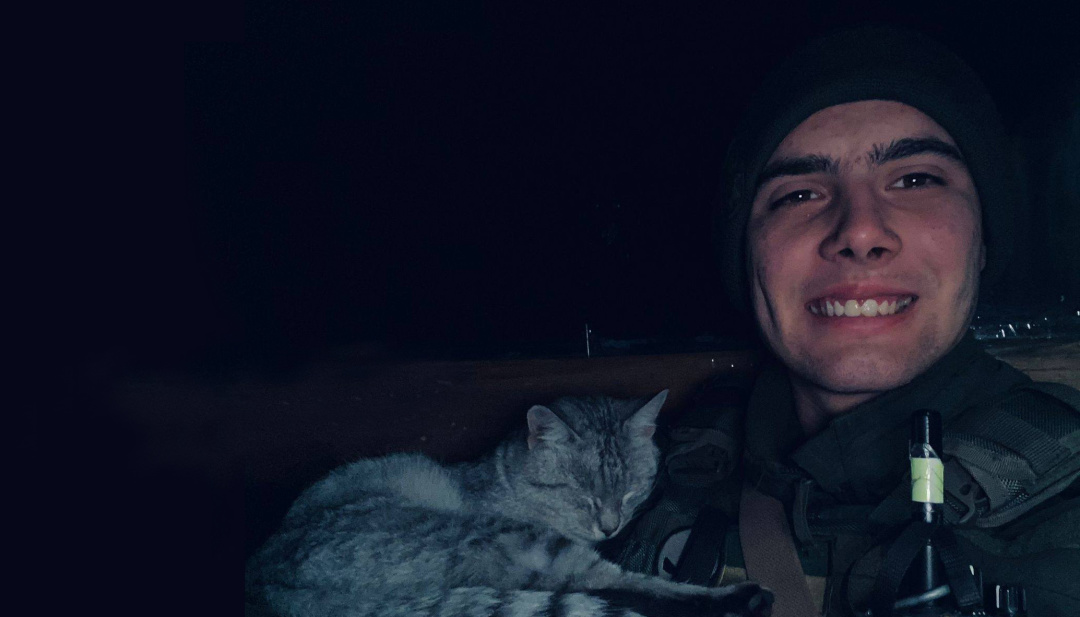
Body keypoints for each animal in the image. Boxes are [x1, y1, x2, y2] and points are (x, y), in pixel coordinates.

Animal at [245, 390, 773, 617]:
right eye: (582, 494)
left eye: (631, 490)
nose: (610, 527)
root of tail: (273, 590)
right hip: (510, 542)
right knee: (619, 583)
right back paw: (737, 598)